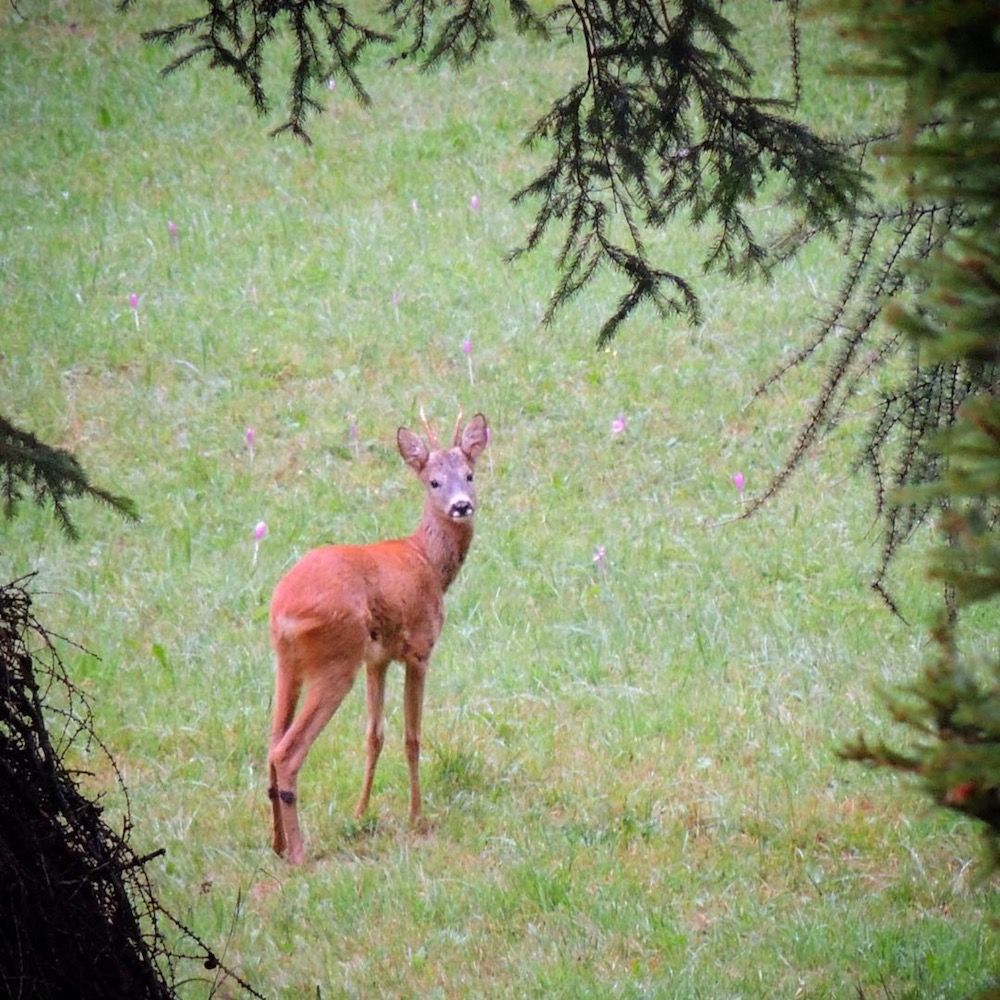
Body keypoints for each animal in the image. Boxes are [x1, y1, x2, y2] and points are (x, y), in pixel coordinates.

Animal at [264, 410, 486, 864]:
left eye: (470, 474)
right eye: (433, 481)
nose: (462, 505)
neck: (429, 561)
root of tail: (282, 610)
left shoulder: (377, 658)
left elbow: (374, 735)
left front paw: (361, 811)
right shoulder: (419, 648)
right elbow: (412, 737)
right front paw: (417, 817)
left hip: (289, 663)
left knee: (268, 747)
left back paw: (277, 844)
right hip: (335, 659)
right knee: (286, 752)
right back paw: (299, 853)